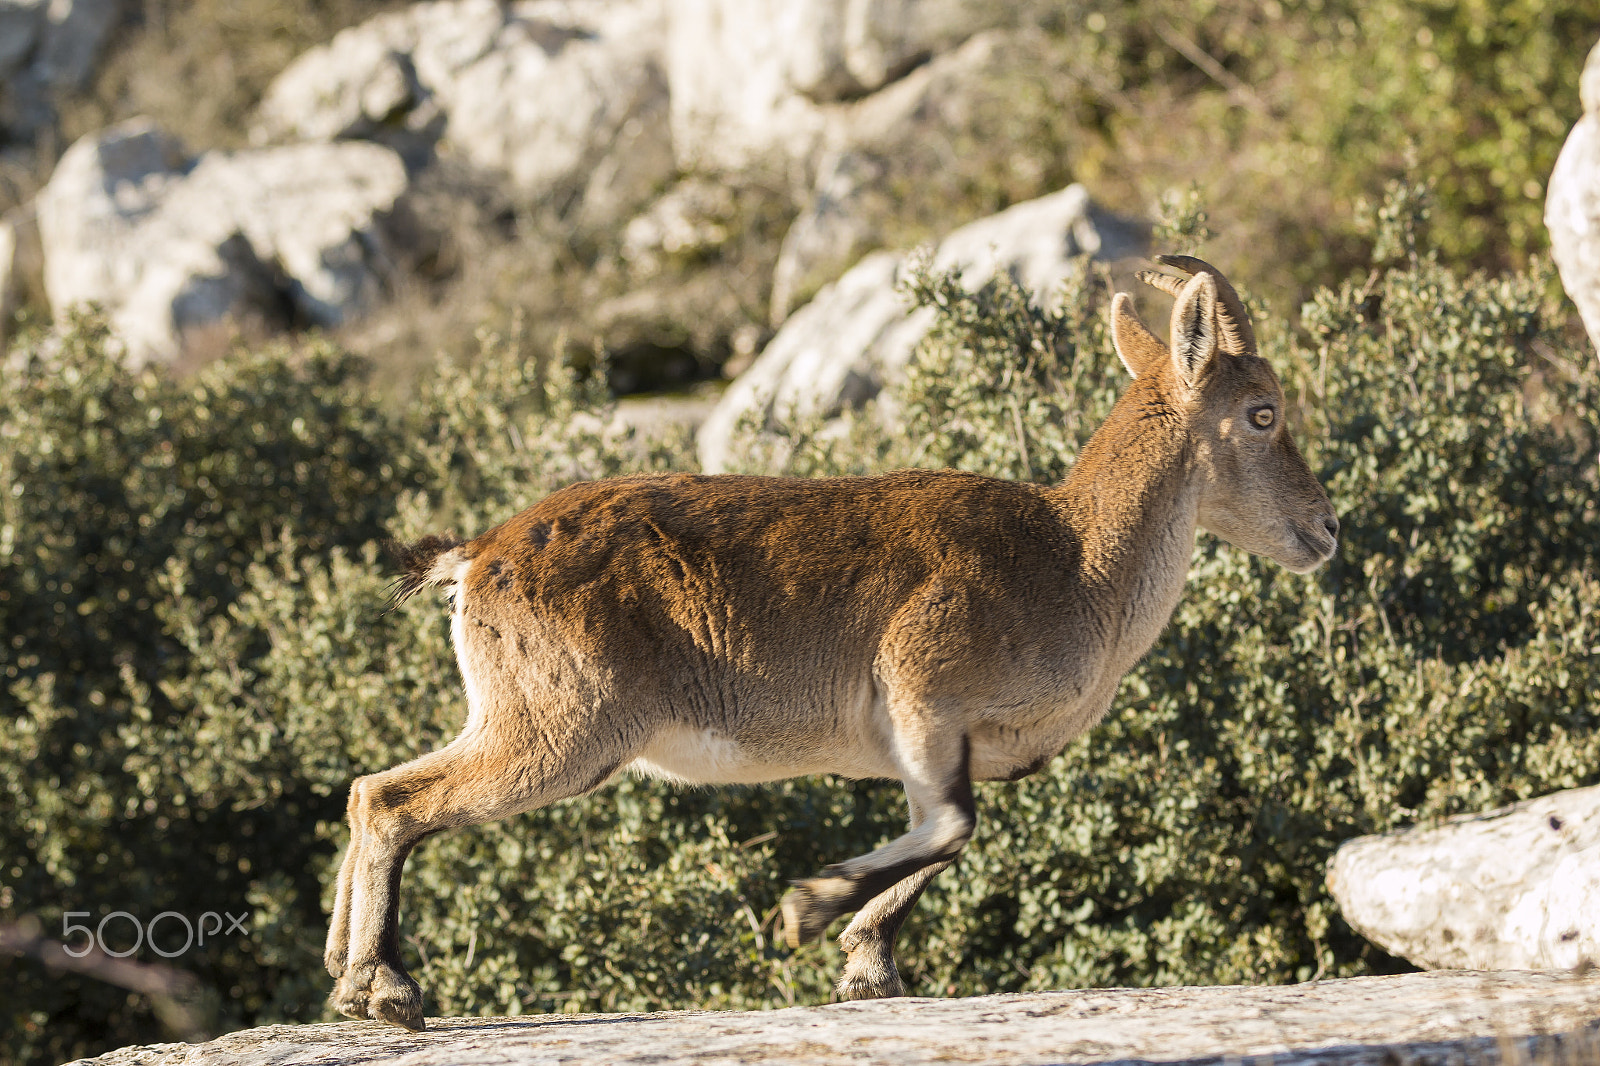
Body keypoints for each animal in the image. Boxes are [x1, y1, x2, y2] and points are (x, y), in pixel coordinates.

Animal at [324, 256, 1339, 1030]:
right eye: (1262, 413)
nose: (1326, 528)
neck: (1078, 559)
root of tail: (478, 557)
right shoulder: (922, 684)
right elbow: (951, 826)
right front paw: (812, 912)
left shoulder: (944, 744)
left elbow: (942, 835)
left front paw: (866, 965)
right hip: (564, 728)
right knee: (397, 801)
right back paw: (388, 989)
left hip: (514, 713)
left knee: (370, 787)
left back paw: (343, 966)